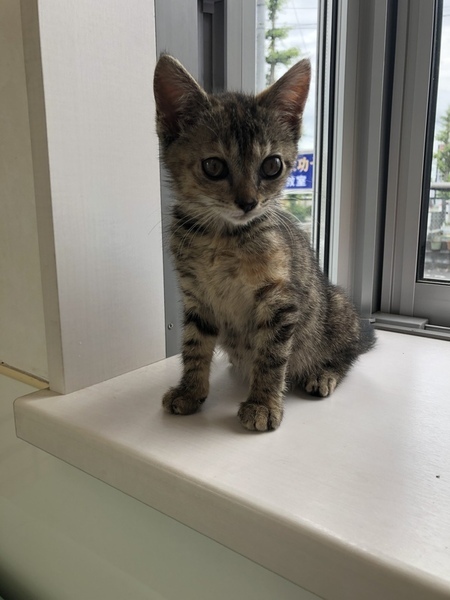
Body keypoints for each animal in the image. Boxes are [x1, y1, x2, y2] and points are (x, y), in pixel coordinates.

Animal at [153, 54, 375, 432]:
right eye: (213, 166)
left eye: (271, 166)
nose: (248, 202)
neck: (221, 237)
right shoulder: (197, 298)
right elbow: (194, 346)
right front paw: (190, 390)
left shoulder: (279, 299)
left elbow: (271, 356)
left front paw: (262, 403)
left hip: (338, 308)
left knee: (348, 351)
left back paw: (323, 373)